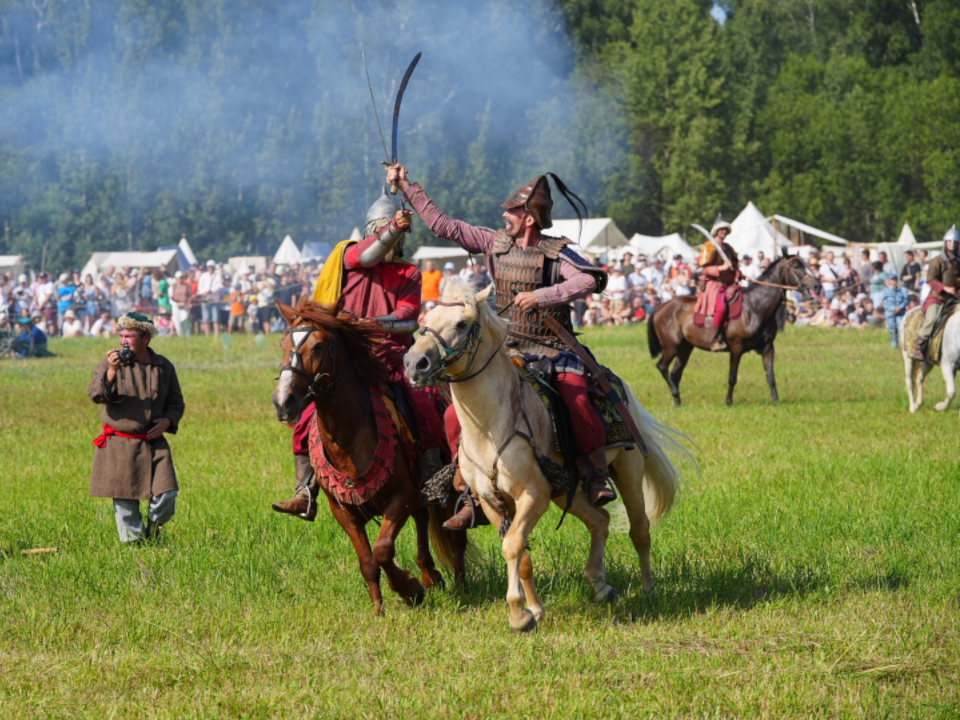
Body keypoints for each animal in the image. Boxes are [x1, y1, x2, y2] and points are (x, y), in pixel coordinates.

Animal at [274, 298, 462, 612]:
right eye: (283, 343)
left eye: (319, 346)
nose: (283, 402)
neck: (348, 439)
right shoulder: (343, 512)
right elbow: (368, 561)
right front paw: (378, 608)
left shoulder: (400, 498)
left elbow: (382, 551)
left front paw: (410, 589)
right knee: (422, 518)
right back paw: (429, 574)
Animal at [404, 280, 696, 632]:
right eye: (425, 319)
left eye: (462, 324)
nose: (414, 363)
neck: (492, 426)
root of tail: (619, 385)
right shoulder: (491, 501)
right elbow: (521, 553)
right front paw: (534, 611)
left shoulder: (534, 495)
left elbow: (512, 545)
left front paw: (518, 614)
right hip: (565, 491)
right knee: (600, 520)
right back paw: (599, 585)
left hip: (628, 469)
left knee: (639, 530)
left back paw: (649, 590)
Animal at [644, 258, 816, 404]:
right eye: (796, 266)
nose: (817, 285)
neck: (755, 307)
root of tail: (662, 307)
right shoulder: (736, 347)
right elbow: (732, 376)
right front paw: (728, 401)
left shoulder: (768, 347)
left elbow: (770, 376)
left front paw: (776, 401)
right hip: (671, 346)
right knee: (662, 367)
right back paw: (675, 394)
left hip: (685, 348)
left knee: (676, 372)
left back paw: (677, 400)